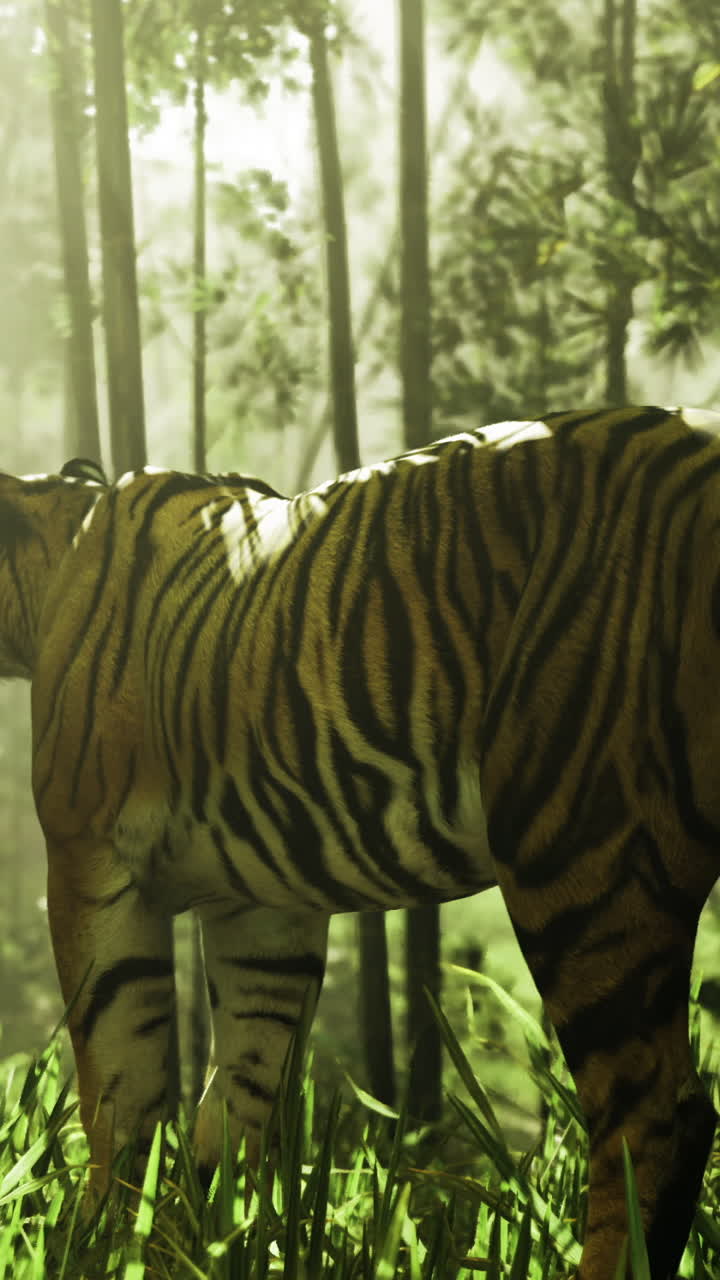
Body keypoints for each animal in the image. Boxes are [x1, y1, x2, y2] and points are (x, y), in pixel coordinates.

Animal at [1, 404, 719, 1279]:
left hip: (580, 844)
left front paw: (102, 1244)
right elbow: (235, 1109)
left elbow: (120, 1093)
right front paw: (208, 1247)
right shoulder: (263, 910)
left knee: (654, 1116)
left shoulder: (90, 861)